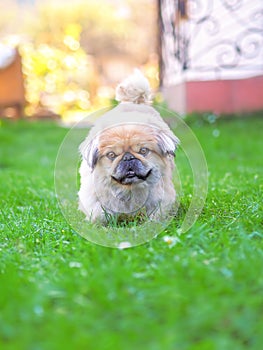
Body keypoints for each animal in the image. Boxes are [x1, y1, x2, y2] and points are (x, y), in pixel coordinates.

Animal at [78, 69, 179, 223]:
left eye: (143, 151)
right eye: (111, 155)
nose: (128, 158)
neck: (129, 188)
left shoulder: (162, 195)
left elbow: (156, 214)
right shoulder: (92, 194)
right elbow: (98, 213)